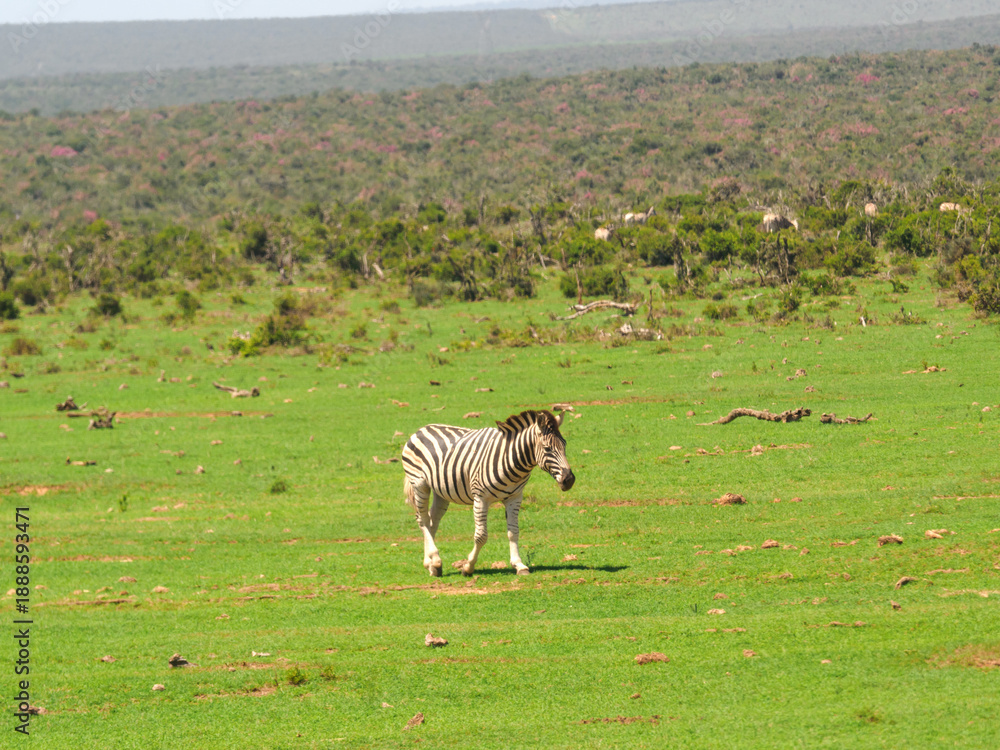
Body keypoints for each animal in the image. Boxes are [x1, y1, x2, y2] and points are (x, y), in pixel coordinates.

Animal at [401, 409, 575, 577]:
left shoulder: (514, 498)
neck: (512, 461)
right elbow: (481, 536)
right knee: (423, 519)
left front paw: (519, 565)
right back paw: (436, 561)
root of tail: (422, 429)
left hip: (442, 491)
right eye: (547, 448)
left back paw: (431, 565)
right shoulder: (480, 498)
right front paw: (468, 567)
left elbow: (514, 532)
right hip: (420, 484)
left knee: (433, 520)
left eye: (565, 444)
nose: (569, 480)